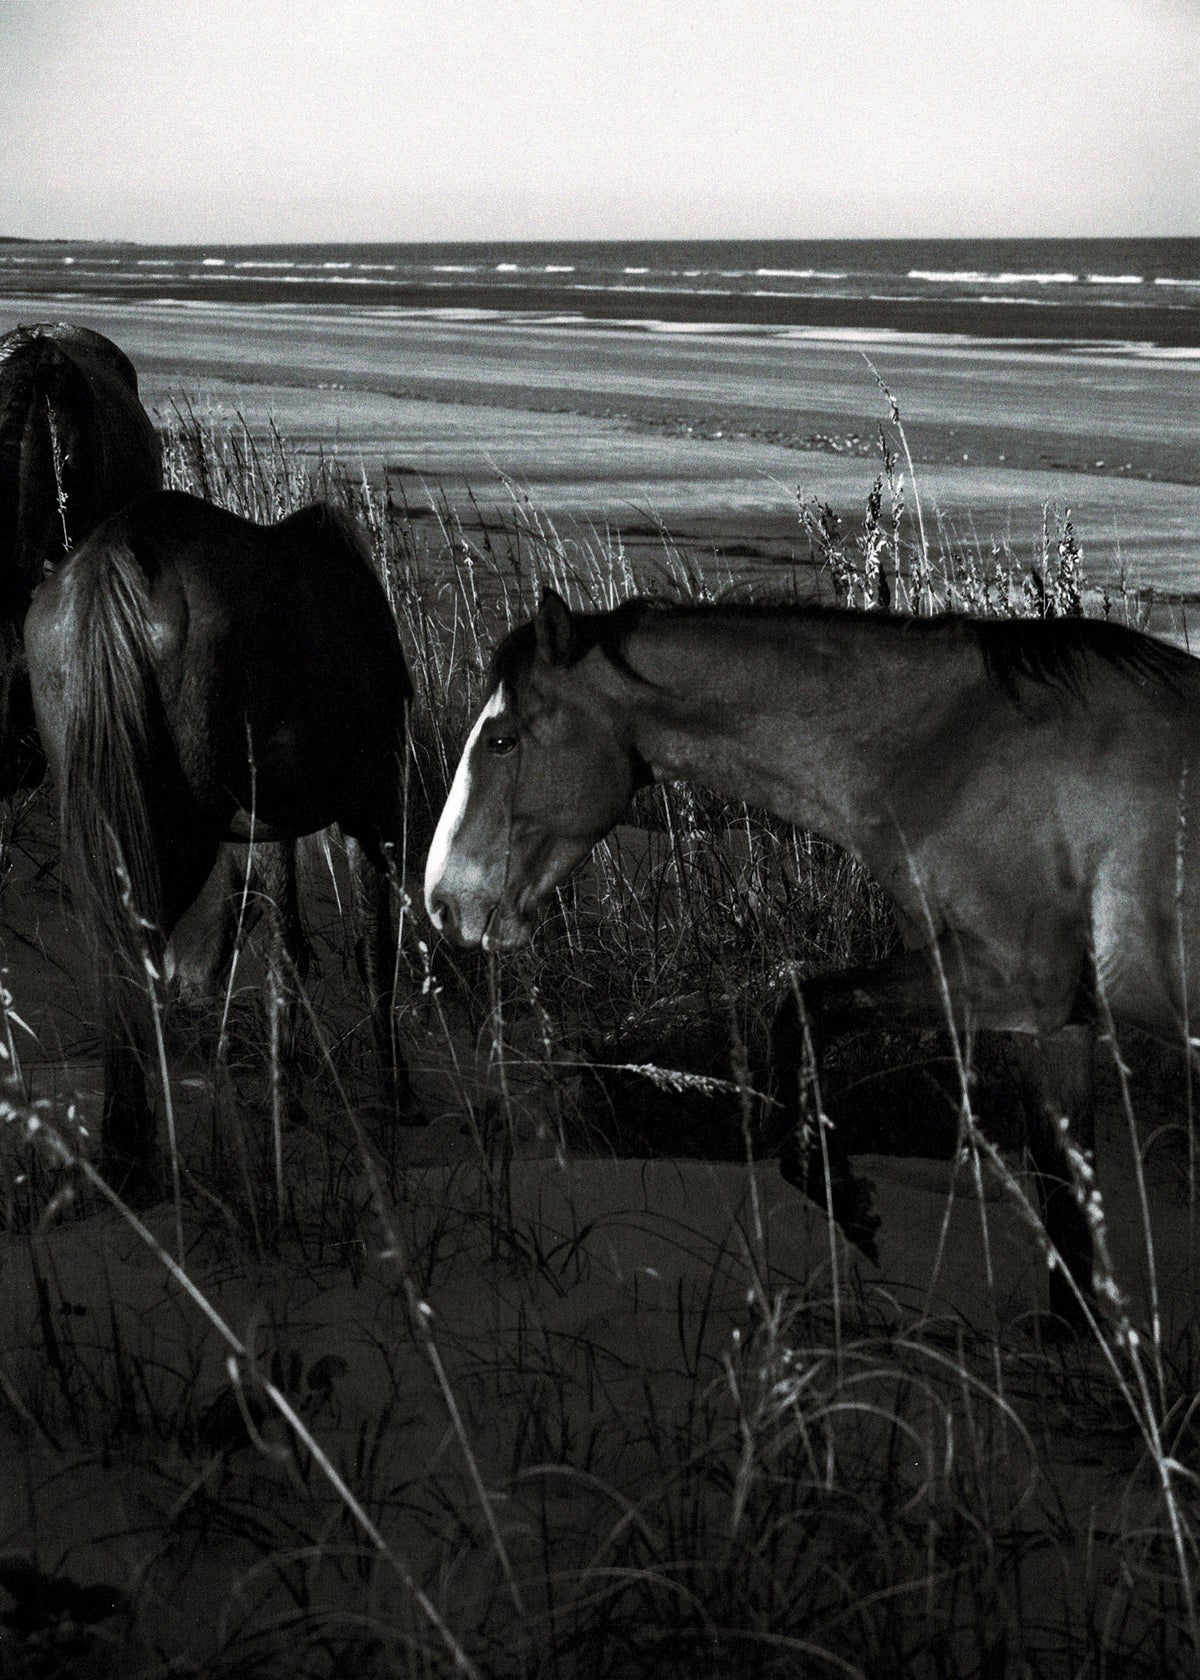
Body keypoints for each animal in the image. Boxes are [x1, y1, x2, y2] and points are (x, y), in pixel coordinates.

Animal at [25, 489, 413, 1195]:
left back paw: (125, 1153)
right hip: (185, 827)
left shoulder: (269, 826)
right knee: (139, 952)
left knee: (119, 958)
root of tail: (113, 562)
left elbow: (287, 946)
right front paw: (392, 1095)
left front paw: (287, 1098)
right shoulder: (369, 805)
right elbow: (365, 949)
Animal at [424, 589, 1200, 1320]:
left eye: (501, 740)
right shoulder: (1056, 1024)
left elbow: (802, 1009)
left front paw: (840, 1192)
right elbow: (1067, 1214)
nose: (442, 901)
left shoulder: (1014, 979)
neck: (953, 752)